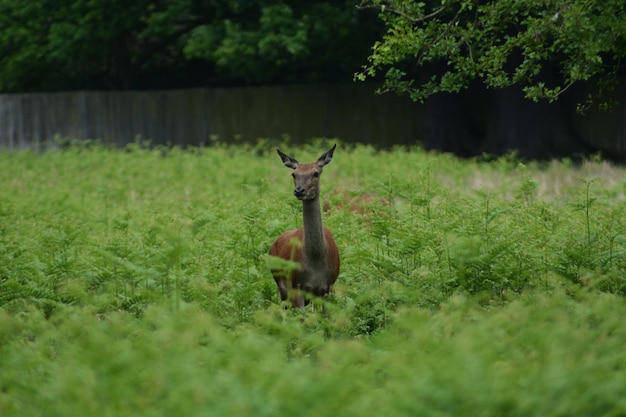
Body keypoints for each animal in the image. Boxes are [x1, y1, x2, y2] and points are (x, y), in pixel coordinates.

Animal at [266, 145, 338, 308]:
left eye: (316, 173)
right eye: (294, 174)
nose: (299, 190)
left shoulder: (328, 287)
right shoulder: (296, 286)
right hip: (281, 284)